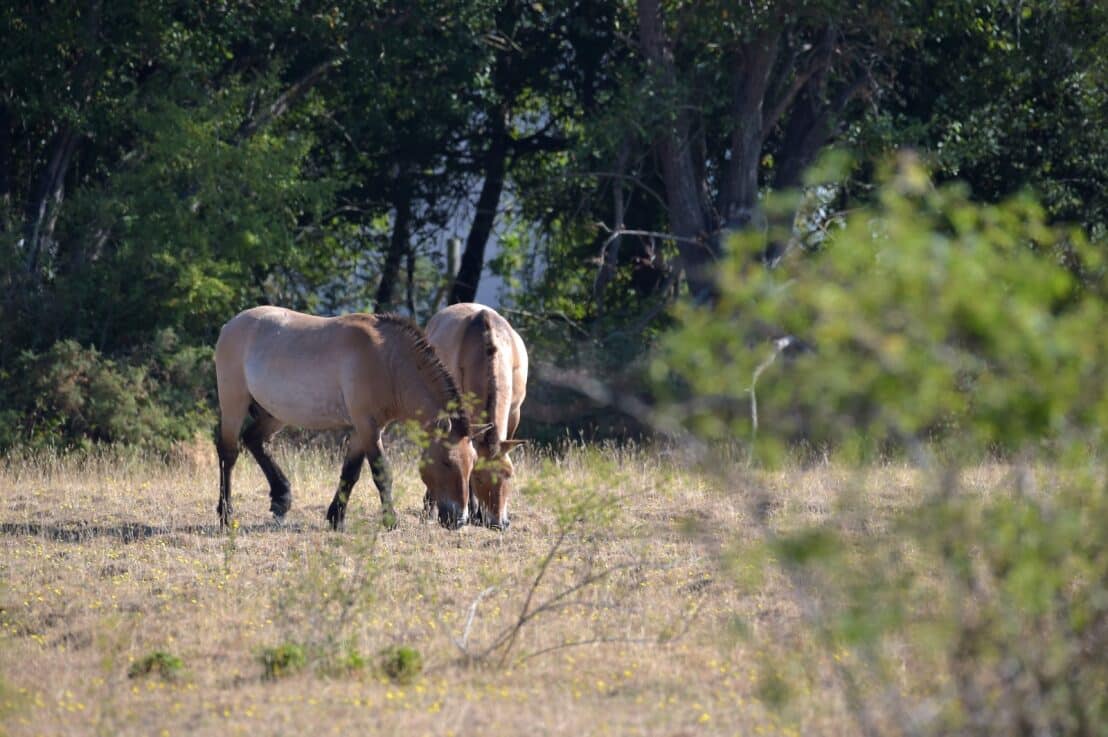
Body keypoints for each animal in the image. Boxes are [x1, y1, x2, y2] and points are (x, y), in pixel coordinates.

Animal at [213, 303, 483, 529]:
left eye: (472, 463)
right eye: (446, 462)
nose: (460, 520)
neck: (387, 361)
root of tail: (230, 325)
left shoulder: (365, 429)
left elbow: (350, 473)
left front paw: (336, 518)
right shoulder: (367, 425)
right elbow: (381, 473)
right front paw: (390, 520)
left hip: (275, 413)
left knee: (254, 440)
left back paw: (281, 499)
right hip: (234, 402)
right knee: (229, 452)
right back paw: (226, 514)